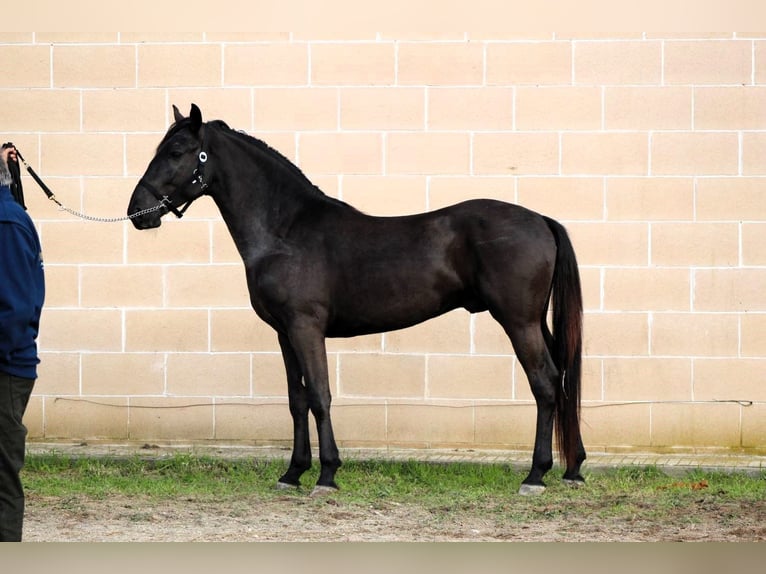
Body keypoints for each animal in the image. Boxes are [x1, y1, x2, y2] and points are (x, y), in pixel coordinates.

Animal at [127, 106, 588, 498]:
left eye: (176, 152)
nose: (136, 212)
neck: (286, 231)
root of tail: (540, 220)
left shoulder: (306, 327)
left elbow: (319, 395)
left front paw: (327, 475)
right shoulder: (284, 333)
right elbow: (297, 400)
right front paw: (292, 473)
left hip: (518, 321)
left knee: (545, 382)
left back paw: (535, 476)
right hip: (536, 322)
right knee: (562, 378)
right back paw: (573, 469)